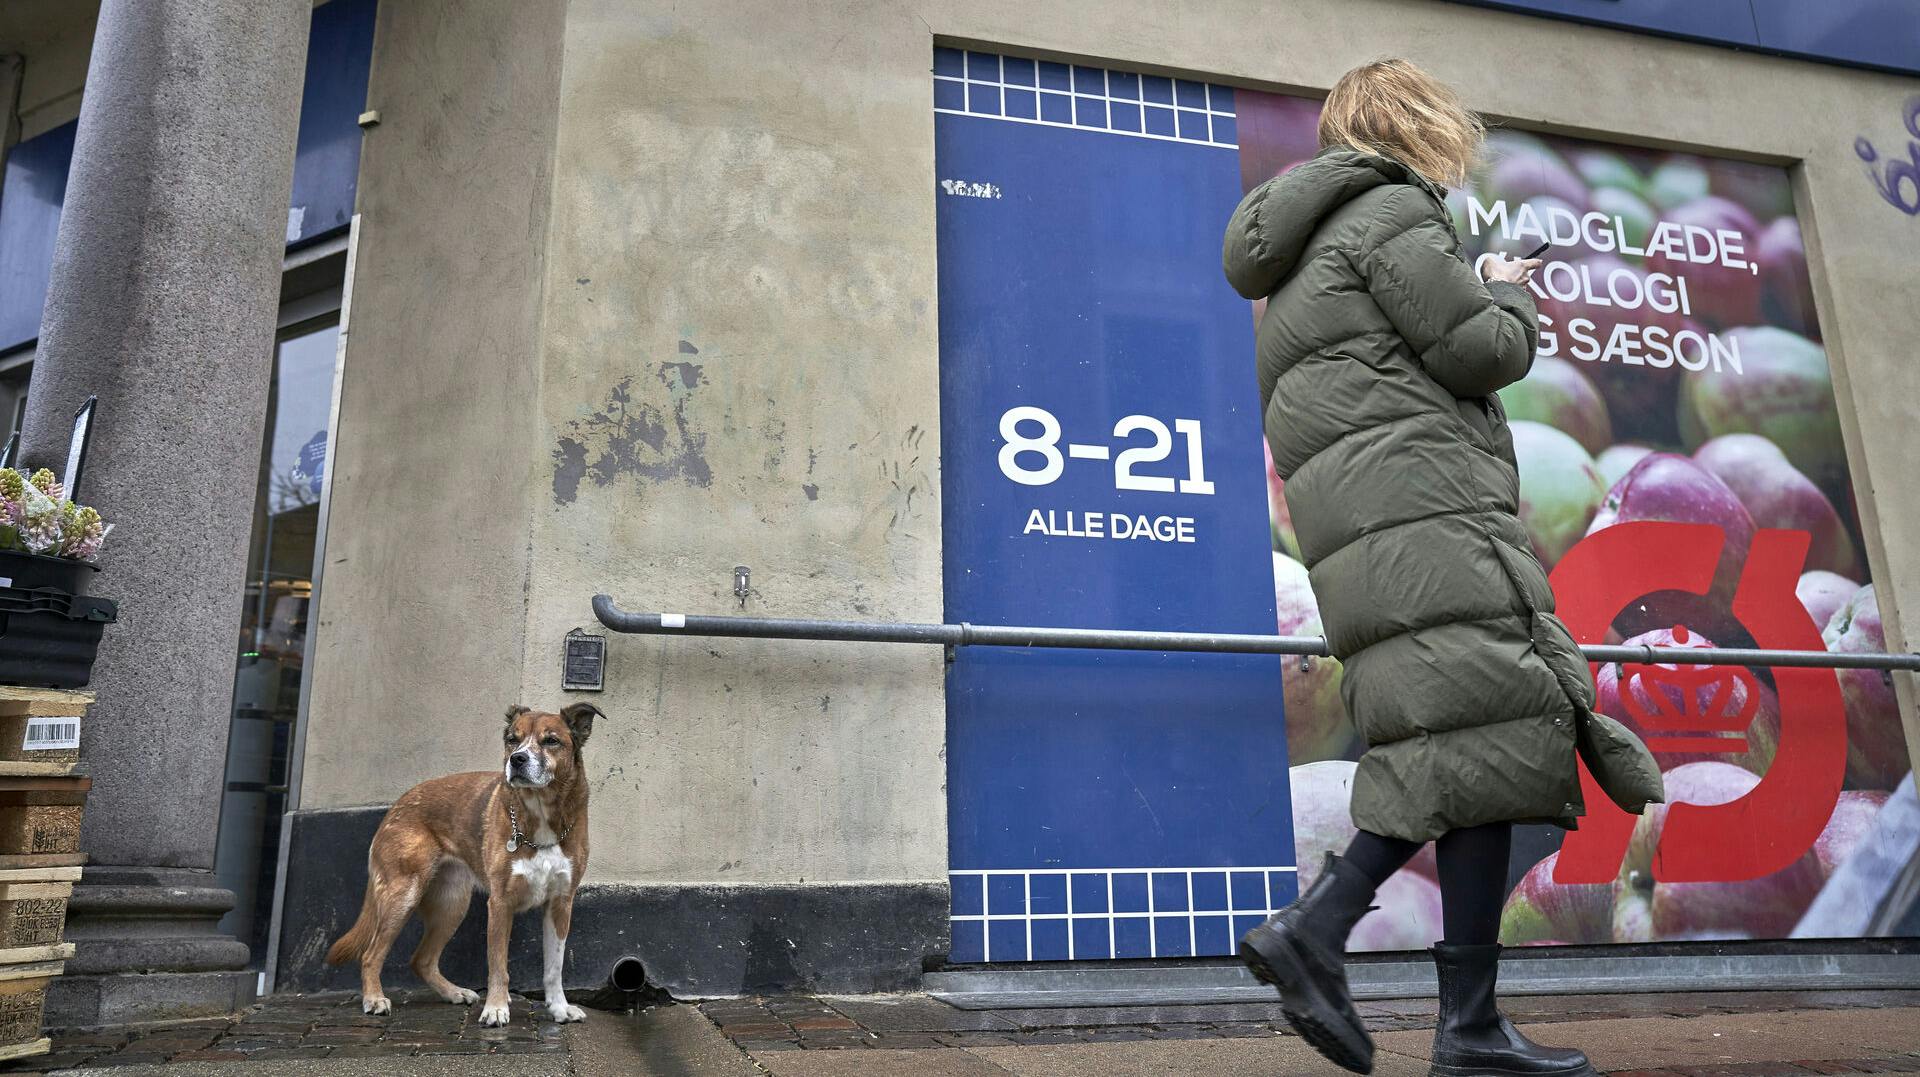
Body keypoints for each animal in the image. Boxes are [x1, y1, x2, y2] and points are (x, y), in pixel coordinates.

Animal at [326, 702, 599, 1021]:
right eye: (512, 739)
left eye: (551, 741)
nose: (517, 759)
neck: (540, 814)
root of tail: (396, 806)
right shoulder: (500, 903)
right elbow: (498, 966)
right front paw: (496, 1008)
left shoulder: (560, 903)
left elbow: (554, 968)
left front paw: (559, 1008)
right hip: (403, 895)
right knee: (372, 954)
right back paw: (374, 999)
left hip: (452, 904)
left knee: (421, 960)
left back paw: (453, 992)